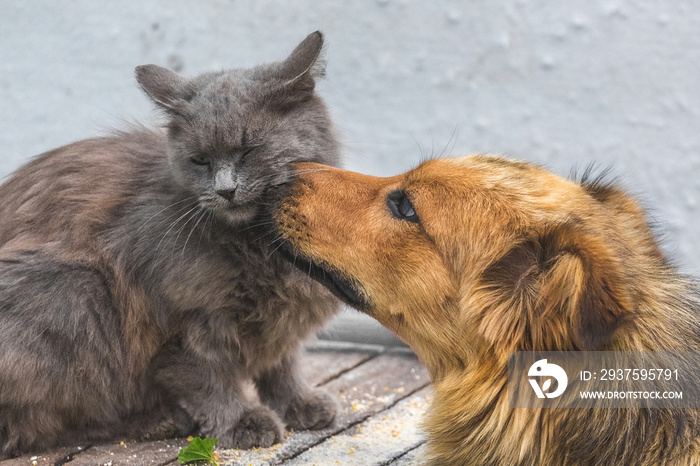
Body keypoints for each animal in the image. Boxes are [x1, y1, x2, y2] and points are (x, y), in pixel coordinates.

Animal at [0, 31, 340, 456]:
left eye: (249, 150)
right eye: (200, 160)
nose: (225, 189)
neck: (258, 242)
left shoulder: (283, 317)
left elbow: (283, 365)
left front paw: (300, 404)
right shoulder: (183, 323)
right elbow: (210, 379)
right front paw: (242, 422)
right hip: (76, 290)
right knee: (40, 426)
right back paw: (159, 420)